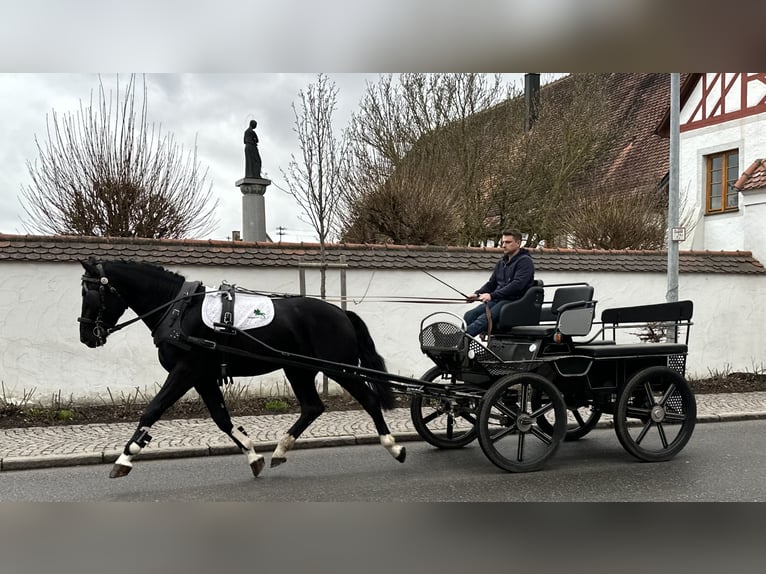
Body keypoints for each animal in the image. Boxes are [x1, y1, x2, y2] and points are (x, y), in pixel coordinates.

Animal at [78, 258, 408, 480]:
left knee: (369, 400)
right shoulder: (202, 377)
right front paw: (253, 455)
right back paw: (280, 450)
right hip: (298, 370)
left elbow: (153, 409)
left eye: (88, 293)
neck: (178, 310)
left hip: (339, 369)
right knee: (312, 407)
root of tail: (341, 312)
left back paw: (393, 447)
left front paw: (125, 458)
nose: (86, 337)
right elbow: (222, 419)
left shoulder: (185, 372)